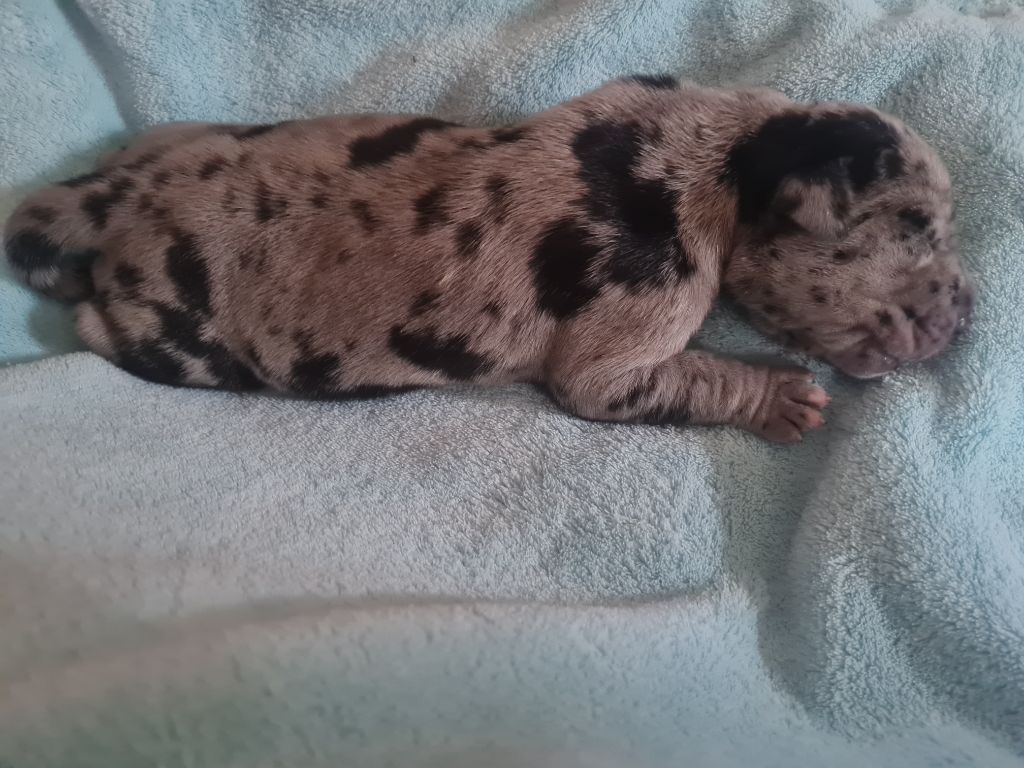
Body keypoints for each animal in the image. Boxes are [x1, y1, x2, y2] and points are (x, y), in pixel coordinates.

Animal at [3, 75, 973, 442]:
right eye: (920, 227)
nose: (969, 314)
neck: (730, 158)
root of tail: (106, 198)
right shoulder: (622, 344)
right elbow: (666, 378)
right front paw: (785, 400)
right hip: (175, 331)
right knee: (101, 326)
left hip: (174, 137)